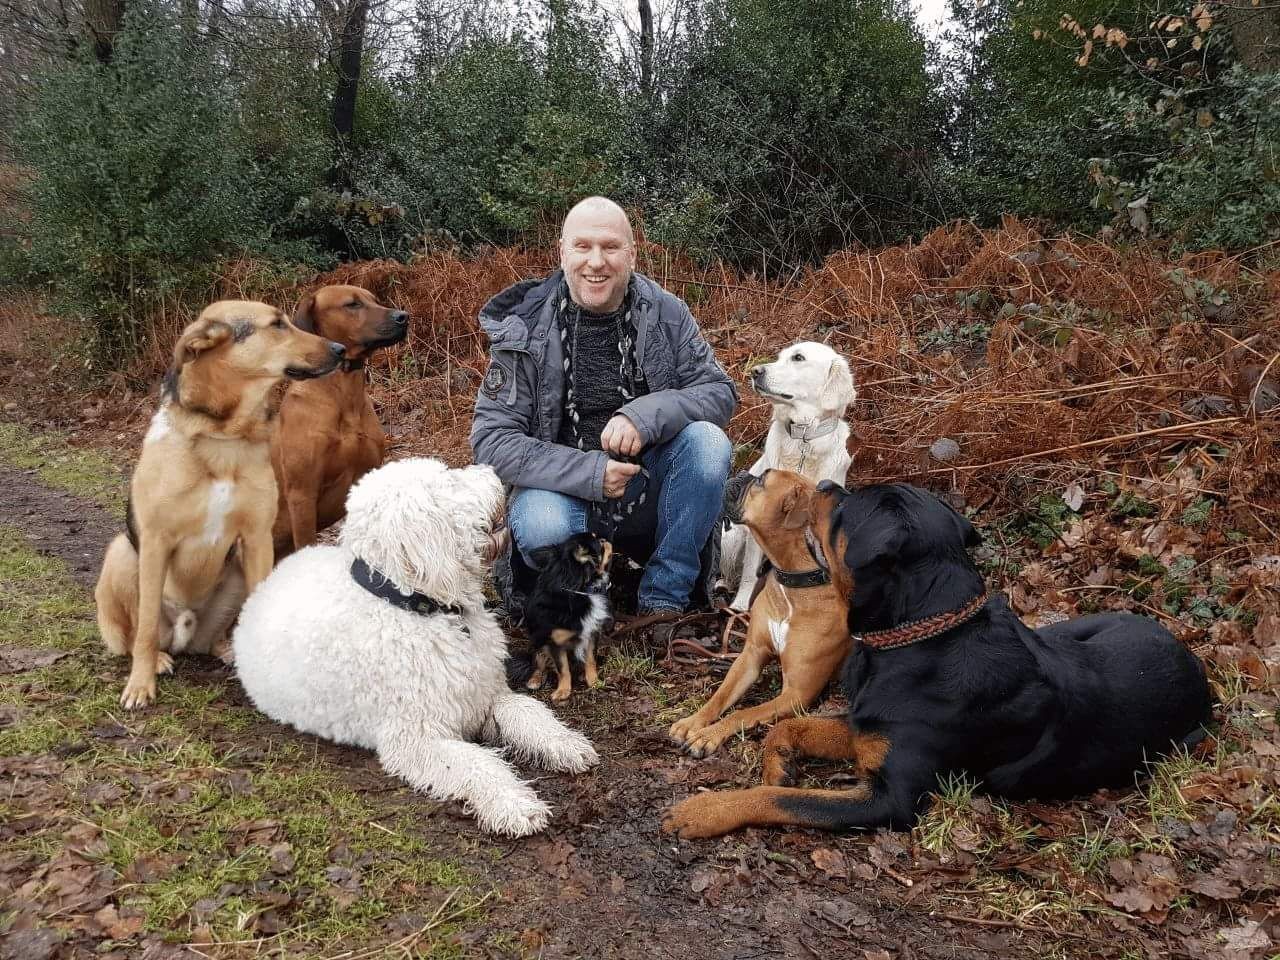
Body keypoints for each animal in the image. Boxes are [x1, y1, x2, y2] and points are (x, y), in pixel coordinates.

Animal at [231, 455, 599, 839]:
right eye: (450, 482)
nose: (493, 473)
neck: (416, 605)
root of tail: (272, 576)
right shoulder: (416, 740)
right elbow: (478, 762)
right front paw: (514, 804)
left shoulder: (489, 697)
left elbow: (530, 712)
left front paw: (565, 743)